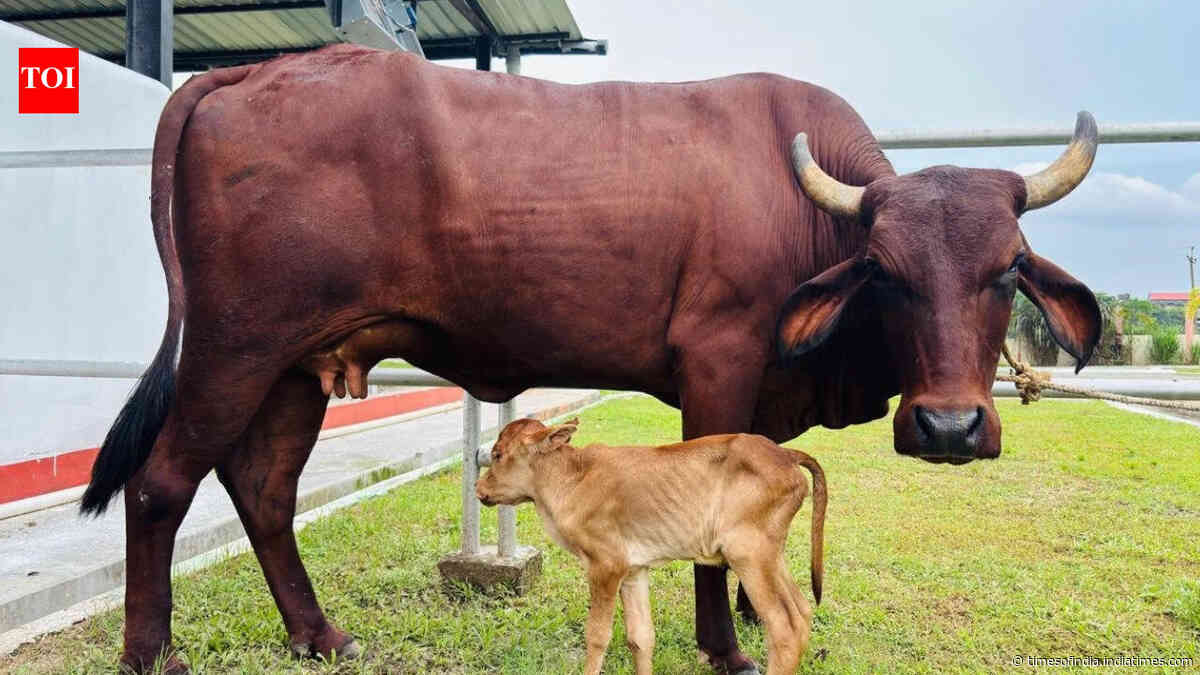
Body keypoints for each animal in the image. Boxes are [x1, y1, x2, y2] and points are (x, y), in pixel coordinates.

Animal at [475, 417, 828, 675]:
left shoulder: (605, 566)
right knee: (802, 610)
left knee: (783, 626)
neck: (572, 478)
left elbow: (597, 636)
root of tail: (785, 455)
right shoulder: (634, 570)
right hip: (771, 556)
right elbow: (641, 638)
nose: (478, 488)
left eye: (497, 454)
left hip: (749, 555)